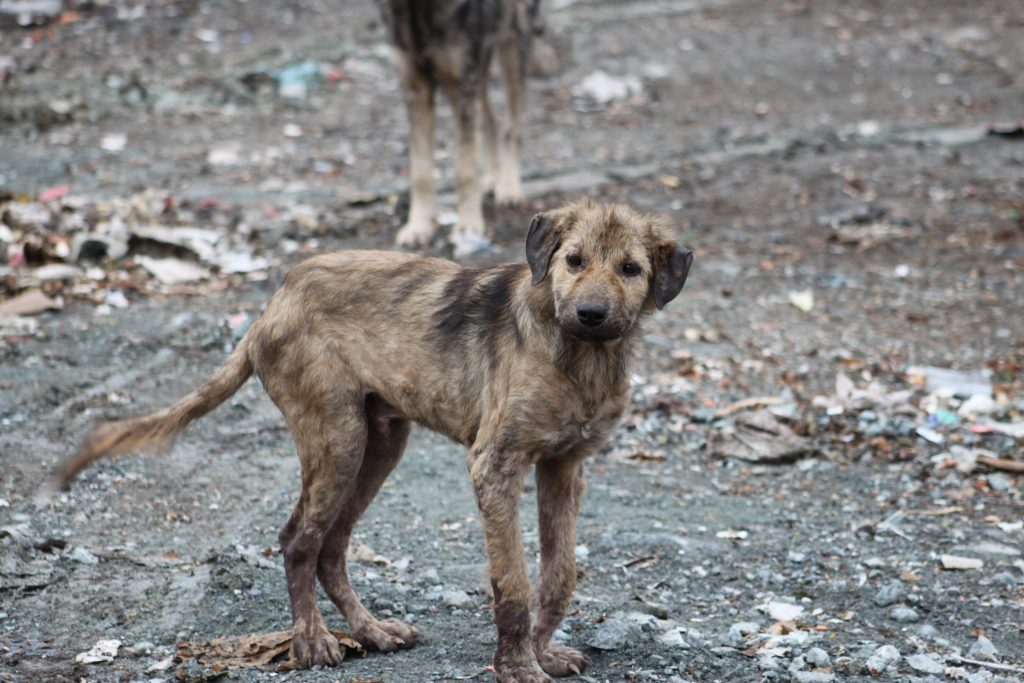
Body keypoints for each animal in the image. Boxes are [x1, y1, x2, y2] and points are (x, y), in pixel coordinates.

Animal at [53, 198, 693, 683]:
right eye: (573, 261)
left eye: (630, 269)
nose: (590, 313)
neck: (581, 357)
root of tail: (271, 306)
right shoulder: (496, 463)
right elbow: (512, 581)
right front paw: (517, 668)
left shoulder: (565, 465)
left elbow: (559, 575)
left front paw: (542, 654)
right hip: (335, 436)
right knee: (298, 541)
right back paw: (312, 642)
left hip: (380, 442)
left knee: (332, 546)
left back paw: (372, 632)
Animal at [377, 0, 540, 252]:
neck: (418, 8)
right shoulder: (415, 87)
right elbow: (420, 173)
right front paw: (418, 227)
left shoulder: (462, 82)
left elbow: (465, 169)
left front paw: (468, 224)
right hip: (480, 69)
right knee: (491, 122)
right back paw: (492, 177)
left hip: (513, 48)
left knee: (512, 128)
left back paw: (509, 187)